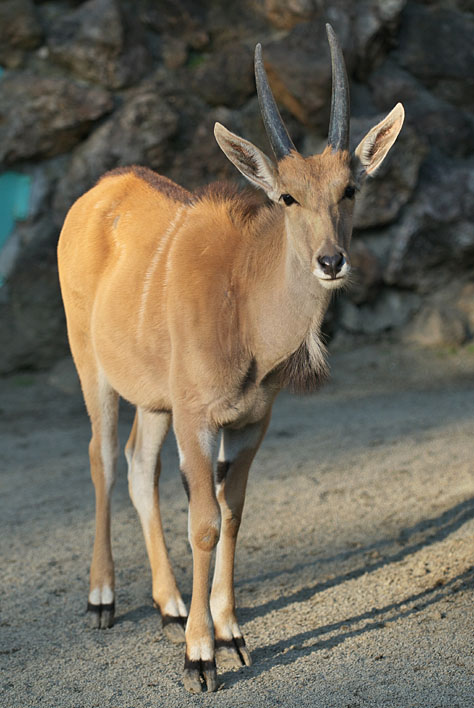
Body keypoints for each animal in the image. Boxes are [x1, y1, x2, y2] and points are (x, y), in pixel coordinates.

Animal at [55, 26, 404, 692]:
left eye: (350, 189)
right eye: (287, 197)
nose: (331, 261)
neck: (244, 302)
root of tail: (99, 192)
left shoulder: (249, 423)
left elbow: (233, 513)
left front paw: (230, 632)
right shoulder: (198, 420)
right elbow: (205, 523)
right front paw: (201, 655)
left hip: (153, 401)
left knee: (138, 467)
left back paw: (169, 606)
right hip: (94, 370)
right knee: (102, 459)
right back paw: (103, 598)